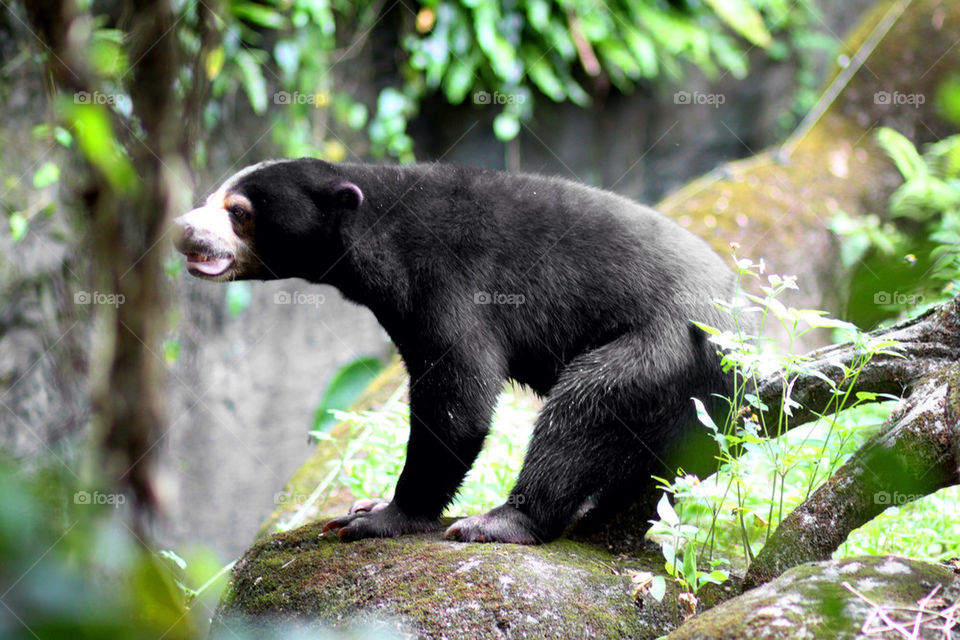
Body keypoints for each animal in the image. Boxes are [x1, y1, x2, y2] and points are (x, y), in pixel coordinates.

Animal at [173, 158, 738, 544]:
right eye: (211, 196)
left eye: (238, 212)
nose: (182, 229)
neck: (380, 231)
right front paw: (366, 506)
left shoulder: (450, 285)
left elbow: (457, 398)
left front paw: (378, 518)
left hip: (655, 347)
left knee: (582, 410)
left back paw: (497, 521)